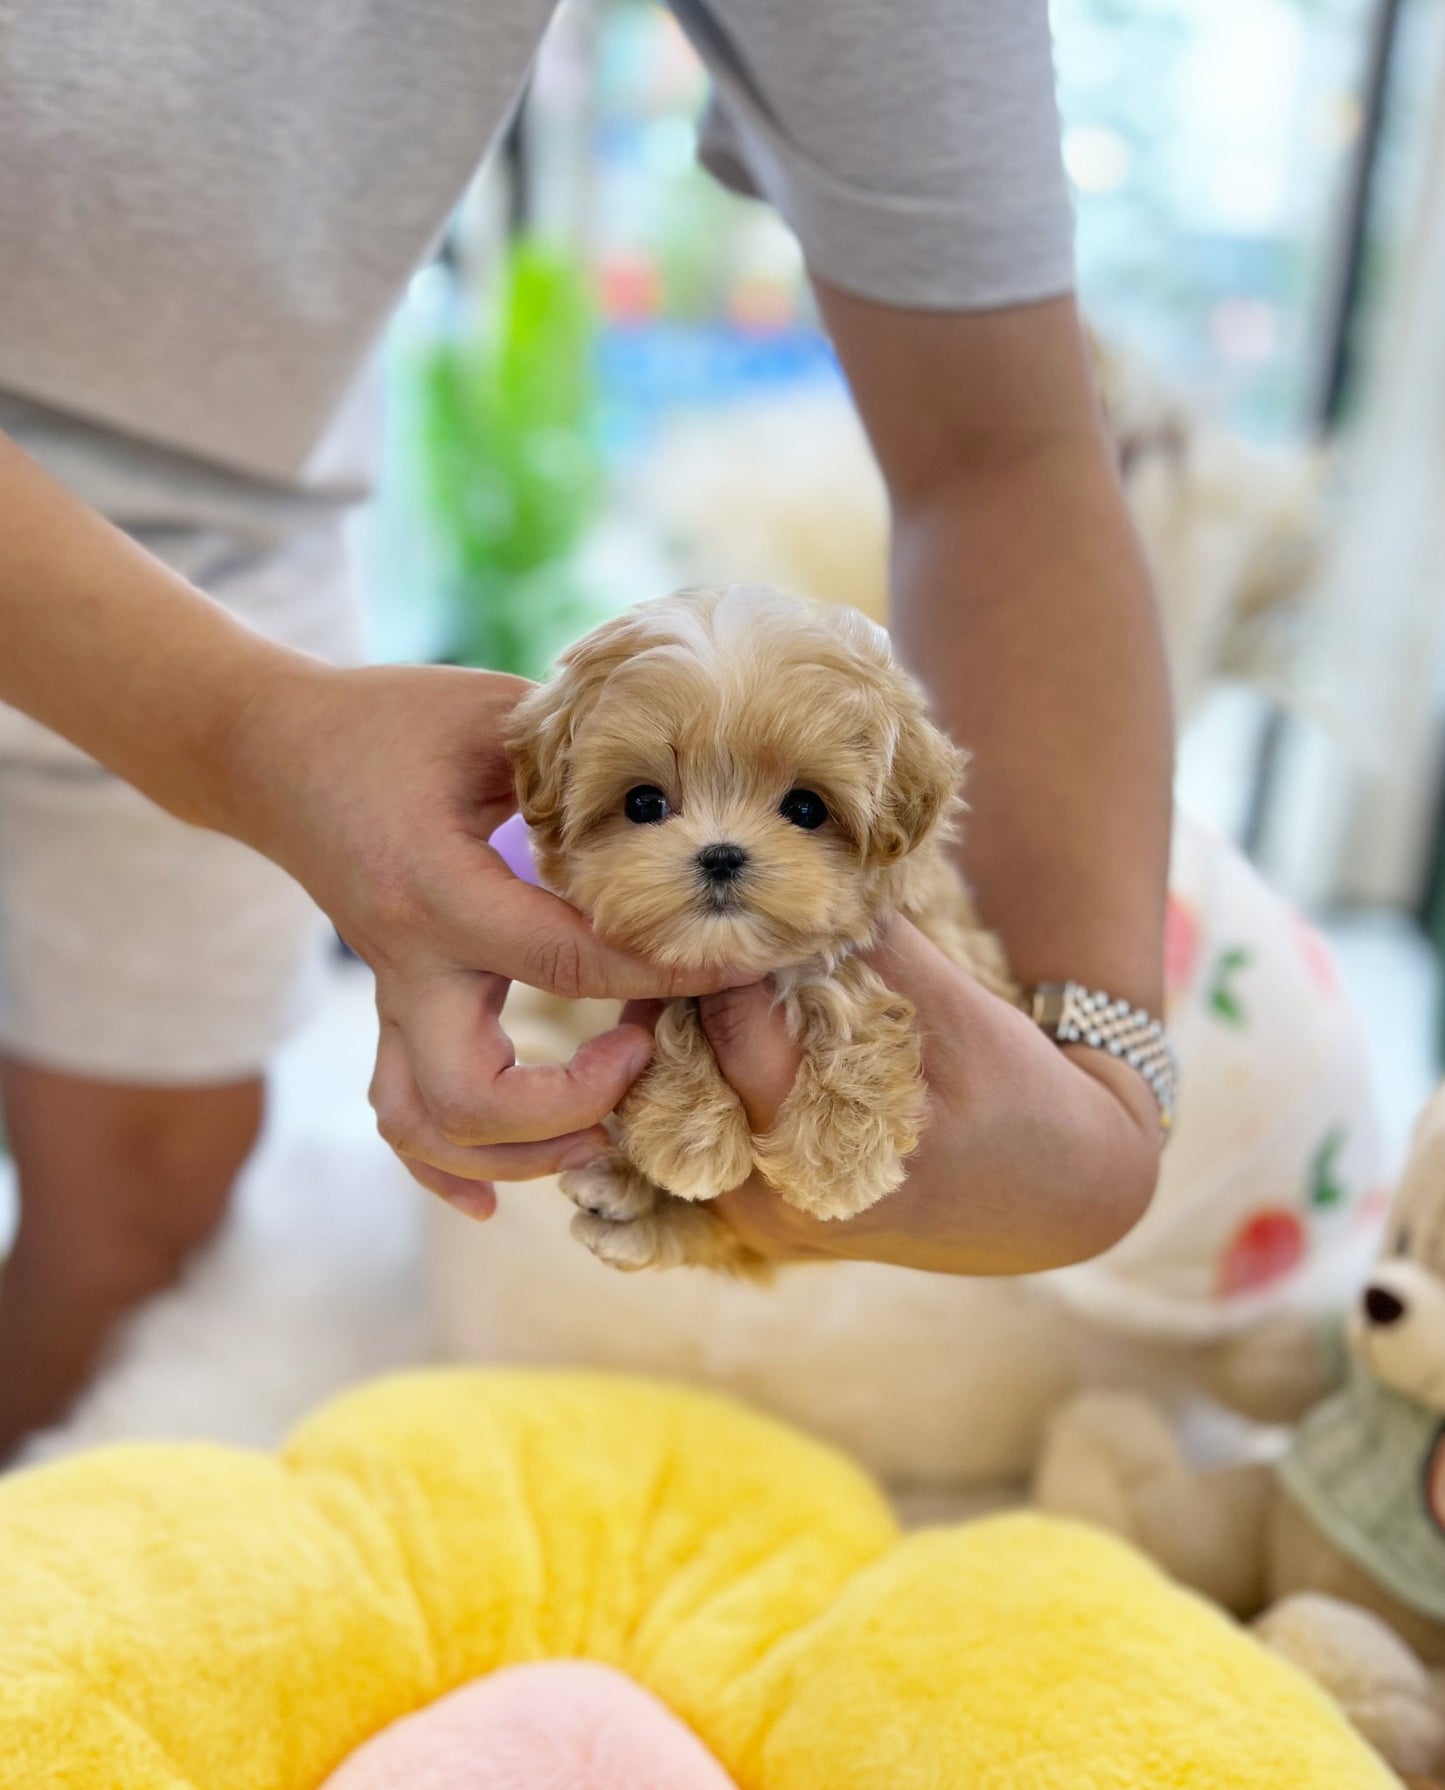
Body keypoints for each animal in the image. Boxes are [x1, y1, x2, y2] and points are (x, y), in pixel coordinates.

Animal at [508, 587, 1017, 1274]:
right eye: (644, 803)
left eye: (805, 808)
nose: (721, 855)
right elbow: (680, 1010)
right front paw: (691, 1130)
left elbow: (846, 987)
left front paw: (835, 1153)